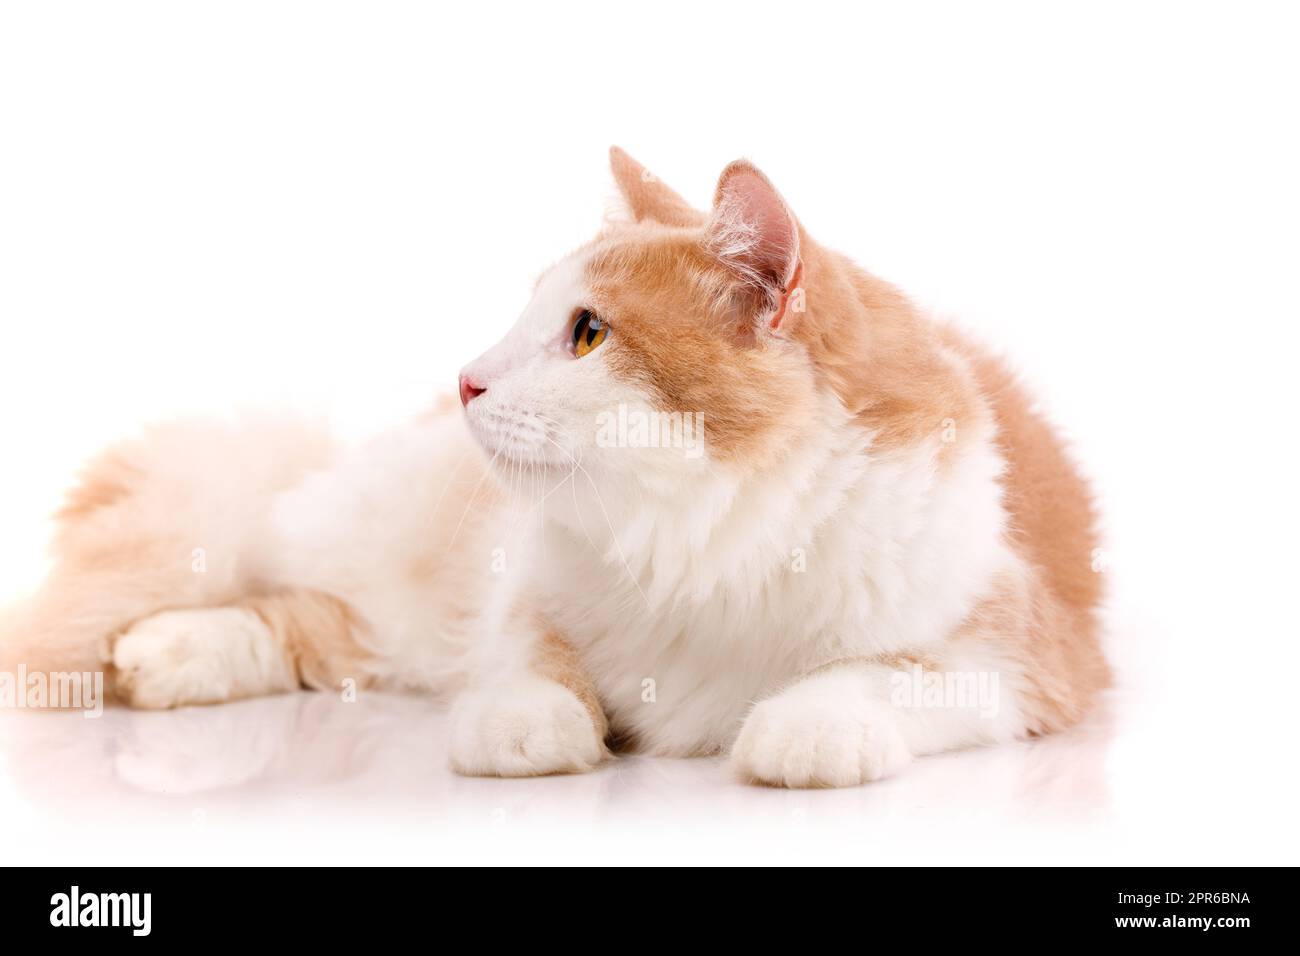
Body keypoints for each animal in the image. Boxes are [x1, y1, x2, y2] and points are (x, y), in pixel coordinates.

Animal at [0, 149, 1107, 790]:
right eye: (530, 317)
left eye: (587, 334)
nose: (465, 379)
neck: (704, 540)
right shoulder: (523, 588)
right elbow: (531, 659)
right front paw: (533, 725)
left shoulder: (1025, 654)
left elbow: (886, 675)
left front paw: (802, 726)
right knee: (294, 599)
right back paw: (165, 649)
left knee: (319, 626)